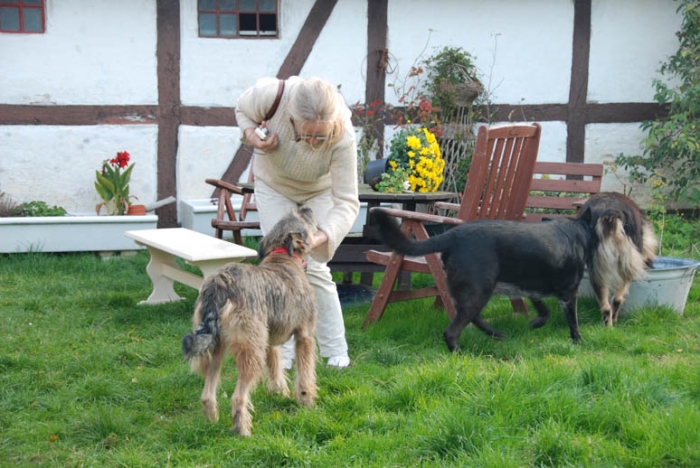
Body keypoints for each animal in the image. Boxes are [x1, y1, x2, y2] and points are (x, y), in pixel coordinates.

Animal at [182, 207, 319, 437]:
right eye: (303, 219)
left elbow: (276, 368)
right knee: (238, 397)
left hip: (216, 348)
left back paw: (212, 423)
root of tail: (220, 284)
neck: (284, 257)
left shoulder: (270, 341)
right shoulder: (304, 336)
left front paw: (280, 393)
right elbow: (305, 373)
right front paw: (307, 401)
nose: (305, 207)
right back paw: (243, 431)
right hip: (250, 350)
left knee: (207, 394)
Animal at [577, 192, 658, 327]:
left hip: (597, 269)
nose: (652, 266)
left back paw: (608, 327)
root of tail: (610, 212)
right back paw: (612, 323)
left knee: (608, 305)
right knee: (613, 300)